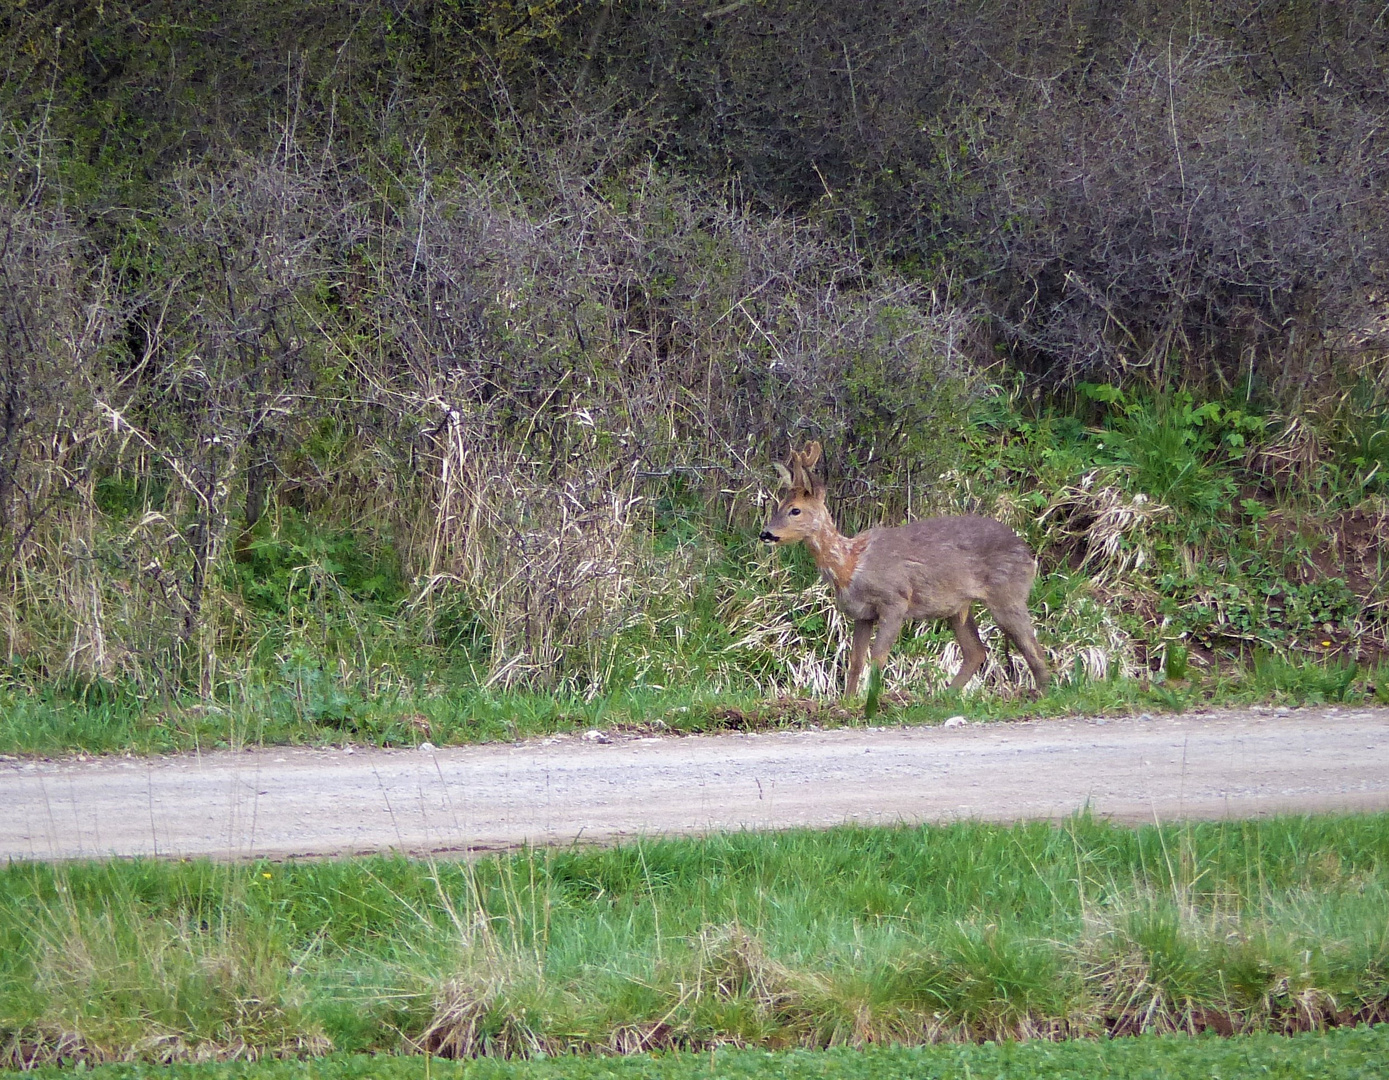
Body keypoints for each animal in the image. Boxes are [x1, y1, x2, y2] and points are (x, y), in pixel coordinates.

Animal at [766, 441, 1044, 694]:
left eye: (795, 510)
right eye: (777, 505)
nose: (765, 533)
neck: (850, 565)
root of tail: (1029, 555)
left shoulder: (895, 599)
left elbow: (878, 658)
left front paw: (871, 700)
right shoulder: (862, 614)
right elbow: (855, 661)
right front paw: (848, 701)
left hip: (1008, 594)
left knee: (1033, 649)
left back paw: (1043, 693)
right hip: (957, 607)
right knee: (976, 651)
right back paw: (942, 698)